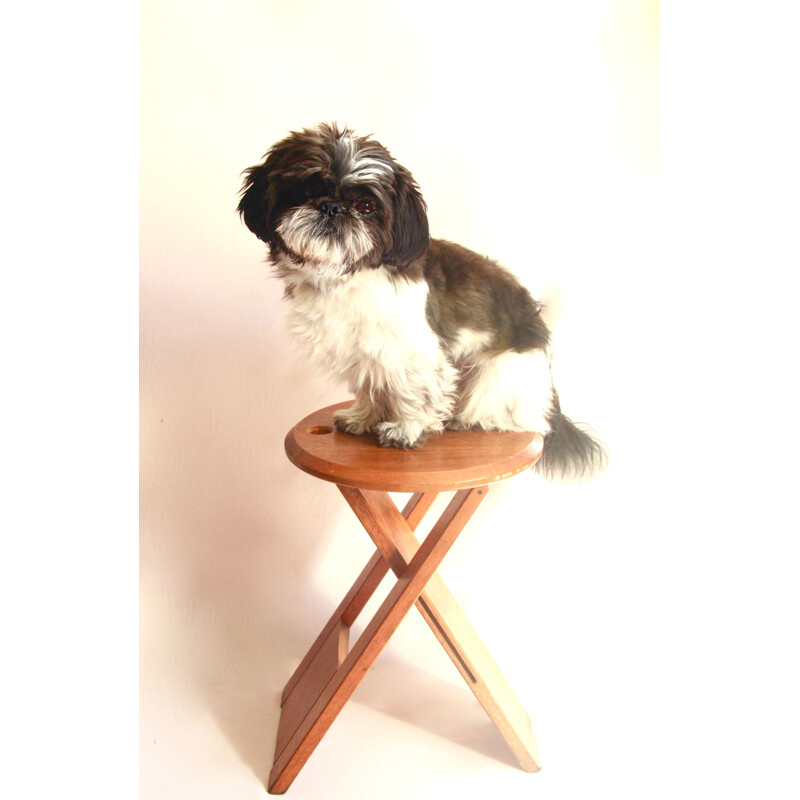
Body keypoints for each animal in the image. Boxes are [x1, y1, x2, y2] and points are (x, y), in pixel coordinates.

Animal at [238, 122, 608, 478]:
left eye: (366, 206)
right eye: (305, 190)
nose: (332, 207)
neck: (343, 277)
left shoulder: (414, 353)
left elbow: (415, 391)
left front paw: (406, 430)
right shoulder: (364, 350)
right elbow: (370, 385)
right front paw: (362, 417)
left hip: (500, 371)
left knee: (511, 416)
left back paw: (468, 419)